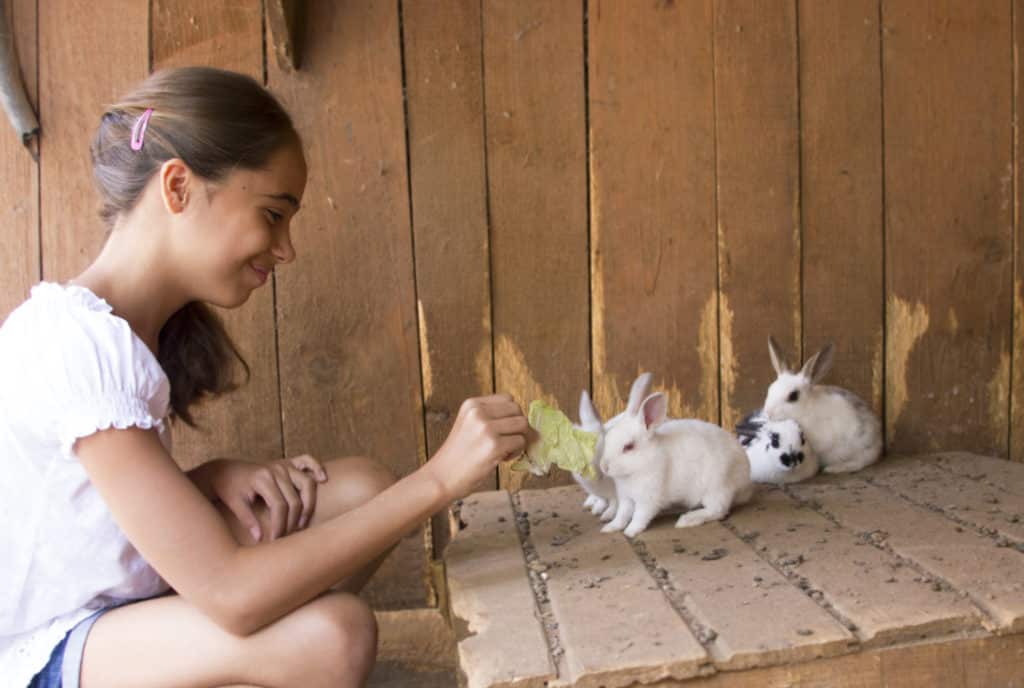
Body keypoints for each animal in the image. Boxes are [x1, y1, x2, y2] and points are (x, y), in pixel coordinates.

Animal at [573, 376, 651, 522]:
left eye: (603, 446)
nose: (591, 472)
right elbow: (602, 501)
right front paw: (597, 509)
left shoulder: (617, 494)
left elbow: (615, 505)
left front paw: (606, 516)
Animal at [593, 370, 753, 536]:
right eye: (607, 438)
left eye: (629, 447)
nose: (604, 466)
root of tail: (745, 481)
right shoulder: (626, 498)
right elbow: (622, 515)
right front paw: (610, 528)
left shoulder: (648, 499)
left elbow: (640, 516)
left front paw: (630, 531)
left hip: (716, 489)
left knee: (718, 510)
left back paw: (687, 519)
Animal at [765, 337, 884, 475]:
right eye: (770, 389)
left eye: (793, 396)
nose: (768, 413)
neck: (806, 410)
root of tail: (879, 441)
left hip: (861, 449)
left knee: (860, 462)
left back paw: (834, 468)